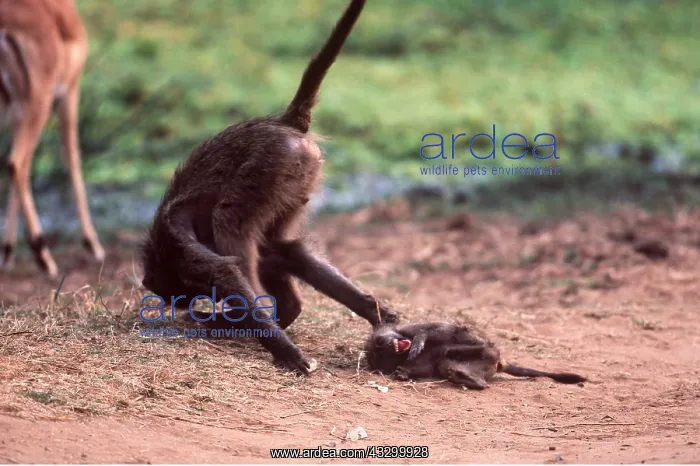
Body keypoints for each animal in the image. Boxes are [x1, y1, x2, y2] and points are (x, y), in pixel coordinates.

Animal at [138, 0, 399, 376]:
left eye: (191, 290)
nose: (202, 303)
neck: (162, 247)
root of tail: (284, 123)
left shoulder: (180, 247)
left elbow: (224, 268)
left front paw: (281, 347)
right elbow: (276, 254)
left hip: (267, 168)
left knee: (230, 223)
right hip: (294, 179)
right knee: (285, 249)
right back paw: (366, 311)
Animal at [365, 322, 587, 390]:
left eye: (380, 343)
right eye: (380, 351)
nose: (389, 345)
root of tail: (499, 361)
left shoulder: (407, 329)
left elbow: (431, 329)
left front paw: (420, 340)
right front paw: (403, 373)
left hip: (481, 344)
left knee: (456, 333)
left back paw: (475, 347)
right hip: (481, 367)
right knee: (448, 364)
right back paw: (467, 378)